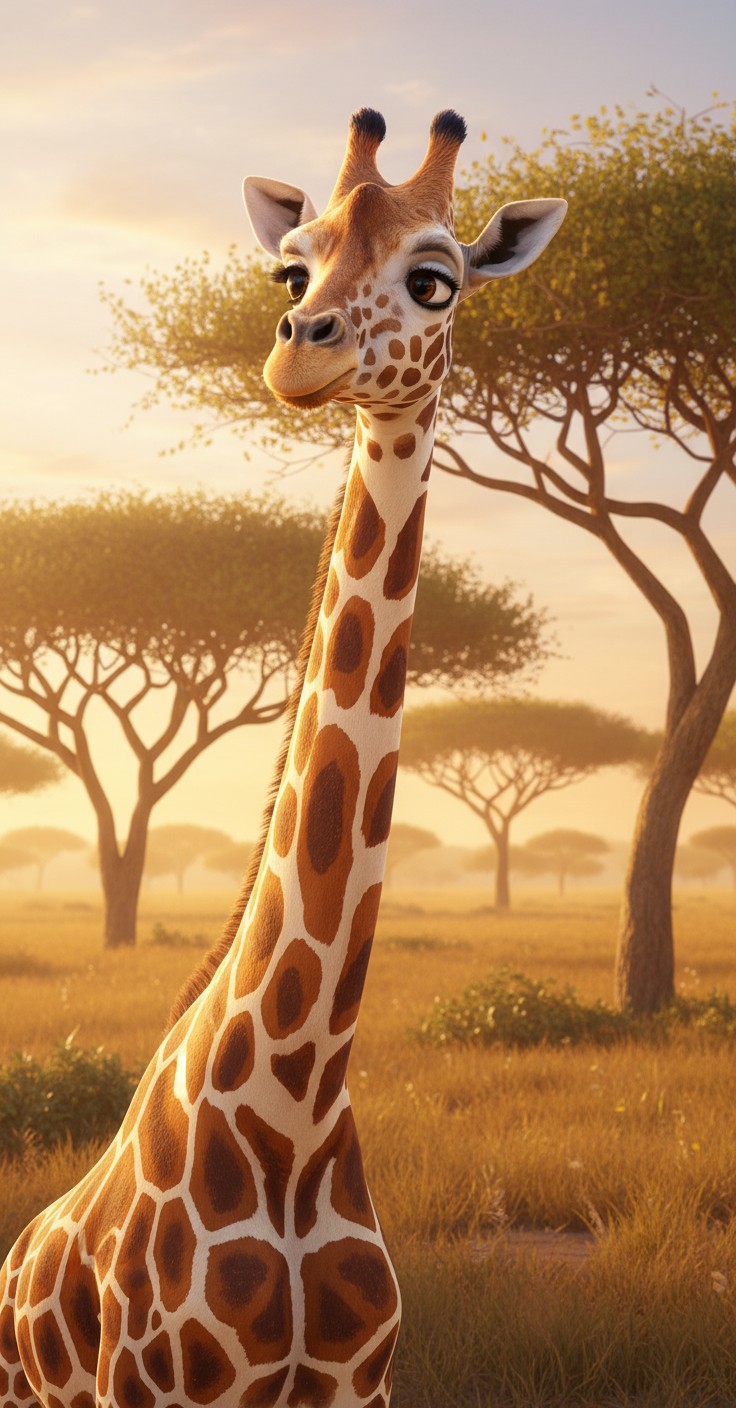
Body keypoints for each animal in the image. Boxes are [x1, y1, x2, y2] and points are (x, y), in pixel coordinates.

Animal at [0, 109, 565, 1408]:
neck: (296, 1109)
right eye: (288, 271)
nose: (298, 356)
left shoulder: (359, 1383)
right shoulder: (155, 1385)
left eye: (435, 276)